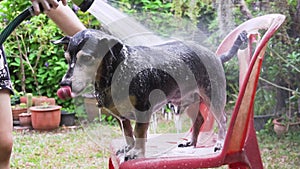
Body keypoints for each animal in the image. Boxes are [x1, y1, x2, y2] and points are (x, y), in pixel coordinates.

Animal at [55, 28, 247, 160]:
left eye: (87, 58)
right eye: (67, 58)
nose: (64, 84)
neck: (116, 71)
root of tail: (216, 56)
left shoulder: (143, 109)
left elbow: (139, 132)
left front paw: (137, 152)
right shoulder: (122, 117)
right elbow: (128, 134)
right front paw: (129, 148)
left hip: (213, 97)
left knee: (222, 120)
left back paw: (220, 142)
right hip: (190, 101)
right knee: (199, 119)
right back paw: (191, 142)